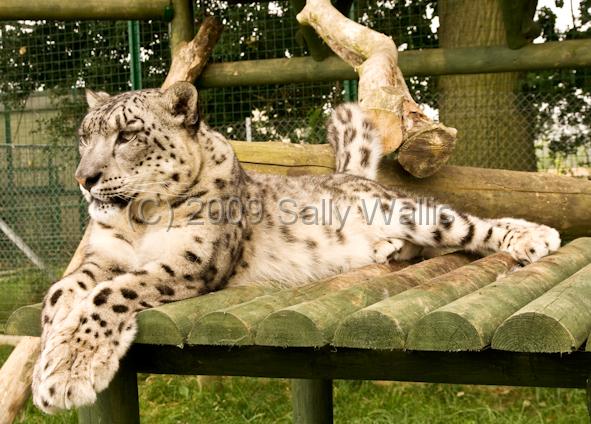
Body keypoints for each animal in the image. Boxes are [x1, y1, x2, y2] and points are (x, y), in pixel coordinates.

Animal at [31, 81, 560, 412]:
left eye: (128, 134)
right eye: (84, 137)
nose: (84, 177)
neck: (138, 222)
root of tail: (352, 176)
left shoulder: (194, 259)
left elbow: (110, 294)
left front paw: (68, 369)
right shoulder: (100, 256)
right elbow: (62, 293)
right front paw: (49, 356)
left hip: (415, 213)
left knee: (470, 225)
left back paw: (533, 236)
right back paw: (389, 251)